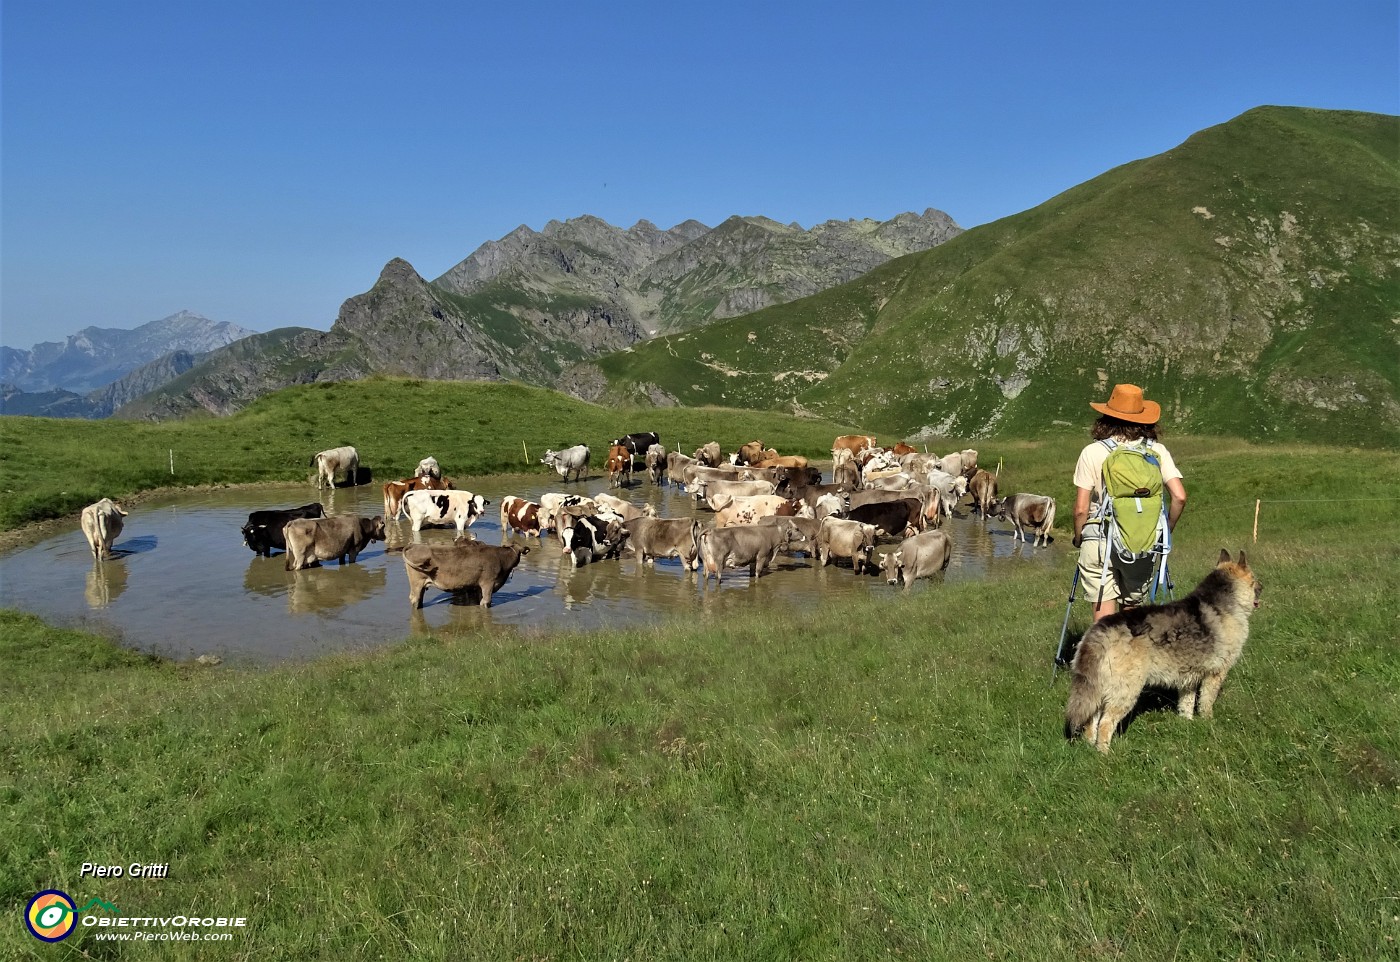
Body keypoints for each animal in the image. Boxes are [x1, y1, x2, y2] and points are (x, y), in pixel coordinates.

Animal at [1064, 548, 1265, 750]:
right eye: (1253, 579)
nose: (1262, 587)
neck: (1225, 601)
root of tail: (1099, 630)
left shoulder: (1190, 678)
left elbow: (1187, 702)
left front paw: (1187, 723)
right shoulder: (1216, 674)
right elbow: (1206, 701)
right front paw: (1208, 721)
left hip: (1100, 685)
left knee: (1092, 719)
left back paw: (1089, 746)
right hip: (1125, 689)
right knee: (1106, 723)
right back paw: (1104, 752)